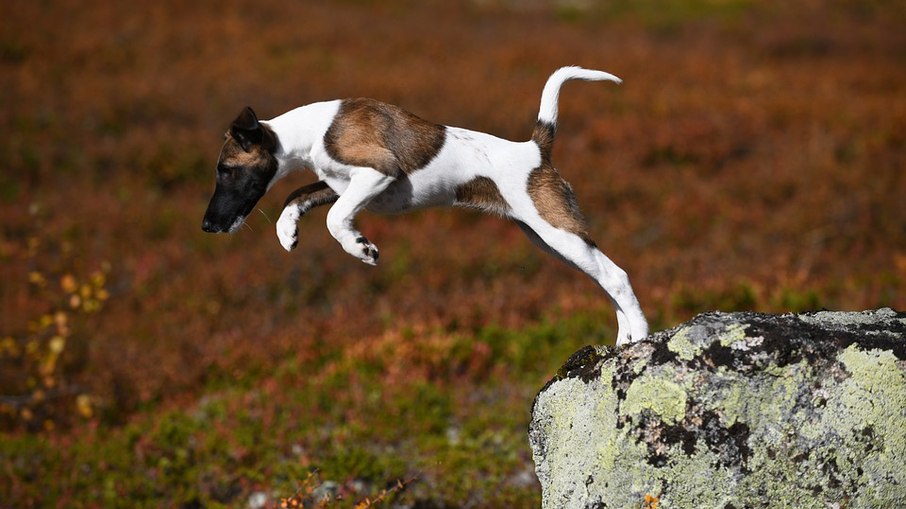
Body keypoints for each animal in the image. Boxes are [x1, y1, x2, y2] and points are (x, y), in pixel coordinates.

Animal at [201, 66, 648, 346]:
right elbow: (297, 198)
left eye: (225, 170)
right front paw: (287, 231)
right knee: (604, 278)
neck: (313, 130)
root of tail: (536, 148)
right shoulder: (339, 184)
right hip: (549, 238)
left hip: (557, 230)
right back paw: (623, 340)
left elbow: (333, 218)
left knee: (617, 276)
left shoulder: (377, 172)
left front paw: (361, 248)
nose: (207, 226)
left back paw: (641, 337)